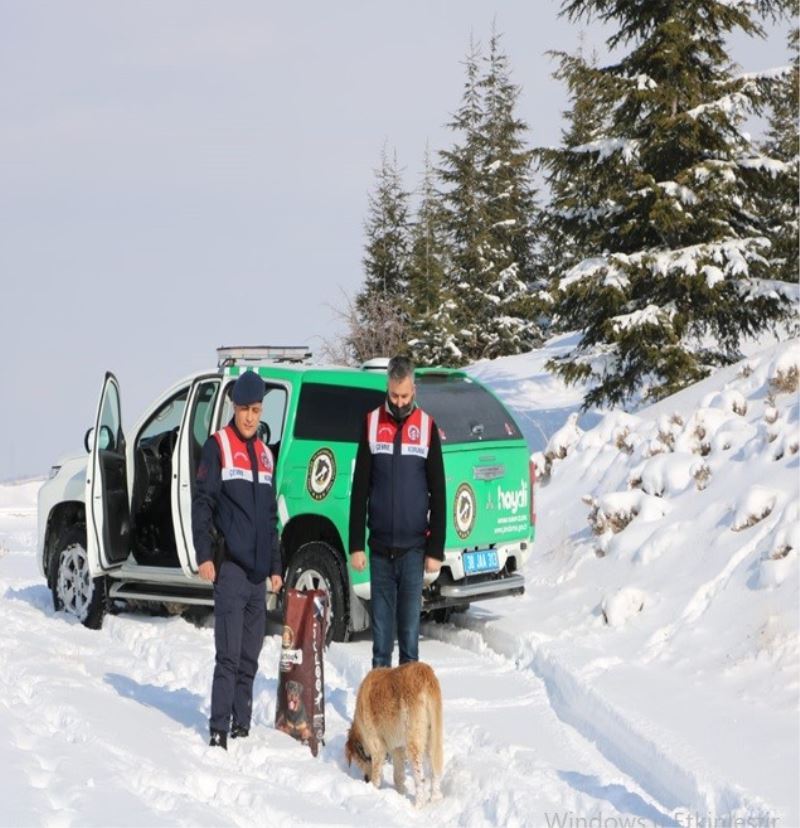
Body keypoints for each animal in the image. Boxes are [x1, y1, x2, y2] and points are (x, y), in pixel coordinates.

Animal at [344, 664, 444, 804]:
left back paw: (418, 804)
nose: (366, 780)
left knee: (420, 778)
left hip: (413, 740)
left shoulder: (377, 748)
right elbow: (398, 775)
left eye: (358, 761)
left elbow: (377, 775)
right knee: (435, 770)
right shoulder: (397, 748)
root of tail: (423, 672)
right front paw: (401, 793)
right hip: (433, 735)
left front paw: (373, 791)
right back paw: (435, 798)